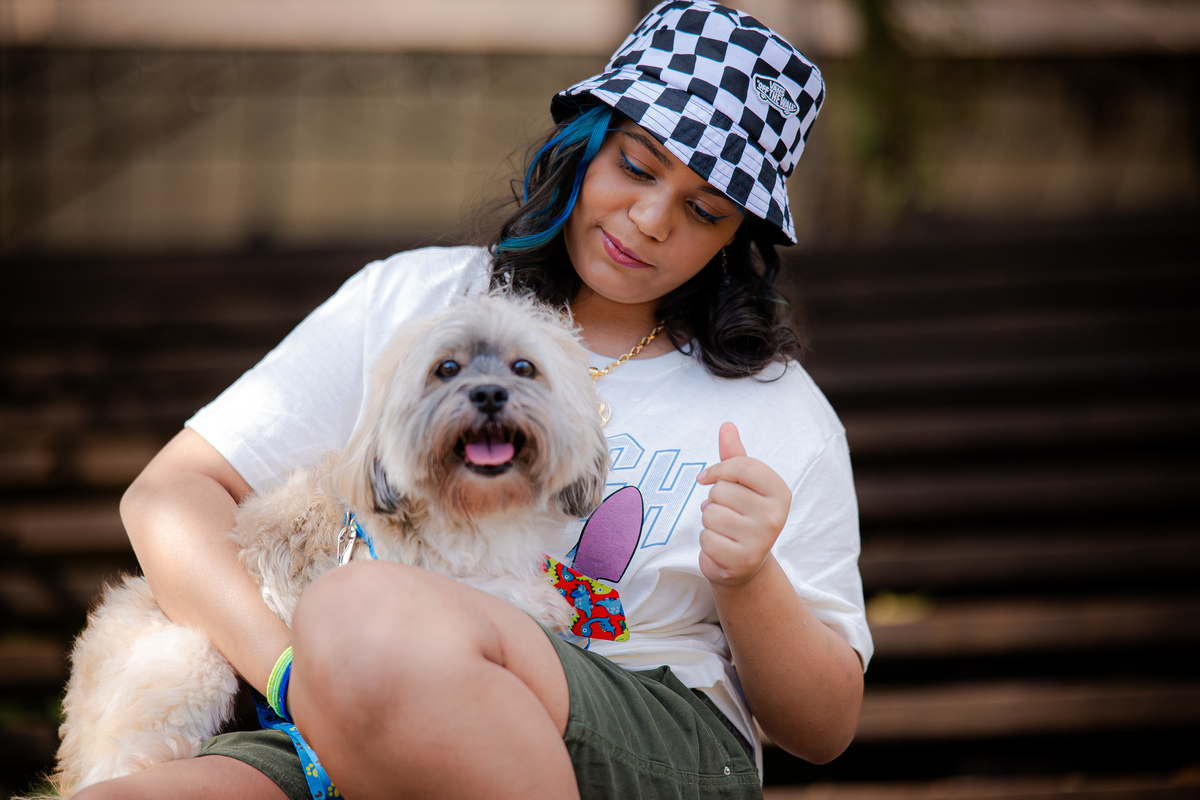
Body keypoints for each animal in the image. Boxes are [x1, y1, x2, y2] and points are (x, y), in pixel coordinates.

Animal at [47, 293, 609, 795]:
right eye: (447, 368)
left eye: (524, 367)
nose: (490, 395)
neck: (472, 503)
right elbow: (484, 589)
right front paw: (540, 601)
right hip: (187, 664)